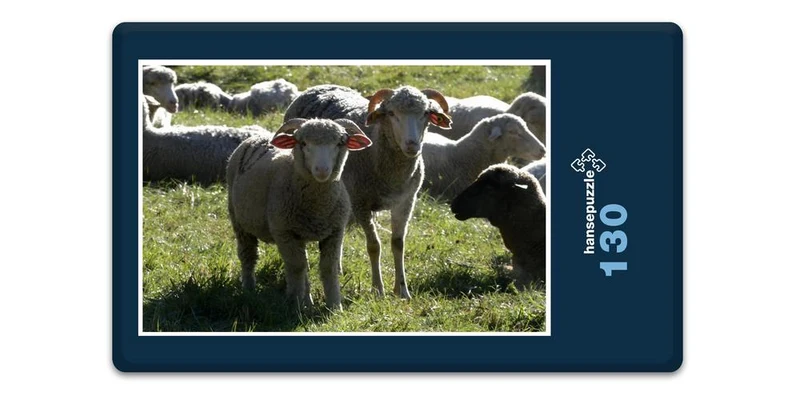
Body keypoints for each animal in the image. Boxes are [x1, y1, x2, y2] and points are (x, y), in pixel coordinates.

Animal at [226, 118, 373, 310]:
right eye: (303, 143)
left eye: (340, 143)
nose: (322, 170)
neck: (317, 206)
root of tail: (257, 136)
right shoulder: (284, 232)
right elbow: (296, 267)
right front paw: (295, 305)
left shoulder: (335, 232)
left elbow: (328, 267)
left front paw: (334, 306)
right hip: (239, 221)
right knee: (248, 255)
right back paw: (249, 289)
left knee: (305, 265)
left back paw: (307, 301)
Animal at [284, 84, 453, 299]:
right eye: (391, 113)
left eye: (426, 113)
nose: (412, 144)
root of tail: (317, 87)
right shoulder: (361, 203)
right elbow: (374, 246)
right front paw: (378, 289)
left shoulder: (406, 201)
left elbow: (398, 243)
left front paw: (402, 290)